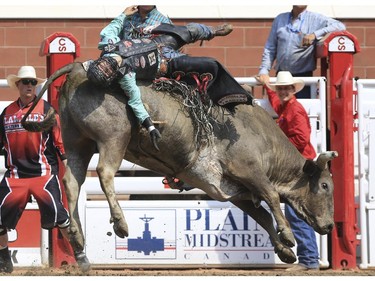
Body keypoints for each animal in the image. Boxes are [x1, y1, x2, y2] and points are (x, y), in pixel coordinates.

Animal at [21, 61, 338, 272]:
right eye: (324, 185)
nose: (329, 225)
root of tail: (78, 68)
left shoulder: (235, 192)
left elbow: (260, 215)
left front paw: (284, 251)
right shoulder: (250, 171)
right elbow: (271, 198)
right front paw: (288, 236)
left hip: (78, 142)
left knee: (72, 184)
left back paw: (78, 243)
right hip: (114, 137)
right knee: (104, 173)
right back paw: (120, 223)